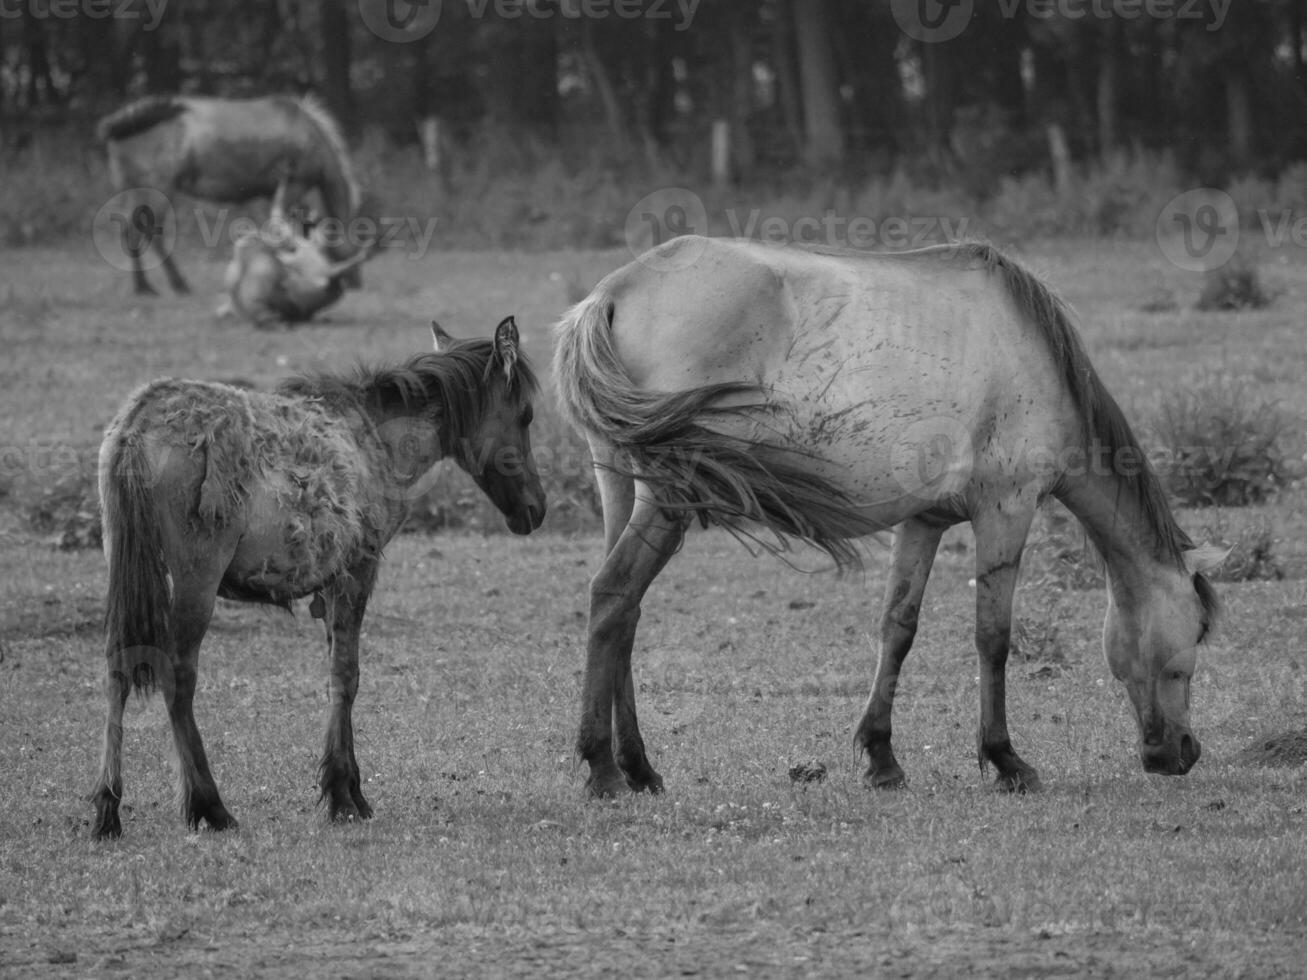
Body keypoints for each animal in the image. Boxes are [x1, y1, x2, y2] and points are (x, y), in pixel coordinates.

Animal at [88, 318, 546, 841]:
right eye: (526, 414)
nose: (536, 508)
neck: (377, 441)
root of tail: (134, 426)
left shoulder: (328, 584)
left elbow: (334, 672)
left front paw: (343, 787)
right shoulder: (357, 569)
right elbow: (346, 676)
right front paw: (344, 793)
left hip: (127, 568)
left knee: (118, 667)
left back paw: (107, 808)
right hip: (194, 577)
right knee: (177, 677)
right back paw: (210, 805)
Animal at [96, 94, 363, 297]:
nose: (356, 282)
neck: (310, 136)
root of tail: (117, 130)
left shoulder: (275, 192)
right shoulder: (294, 185)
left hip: (133, 193)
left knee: (129, 232)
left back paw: (143, 287)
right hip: (159, 191)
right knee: (150, 234)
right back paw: (177, 284)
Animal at [554, 236, 1223, 799]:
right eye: (1196, 633)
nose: (1183, 752)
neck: (1031, 354)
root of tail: (613, 292)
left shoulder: (923, 521)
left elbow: (897, 628)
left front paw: (881, 758)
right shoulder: (1006, 509)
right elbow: (993, 637)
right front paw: (1006, 760)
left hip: (622, 488)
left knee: (624, 617)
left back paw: (640, 768)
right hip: (668, 499)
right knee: (613, 597)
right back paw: (603, 769)